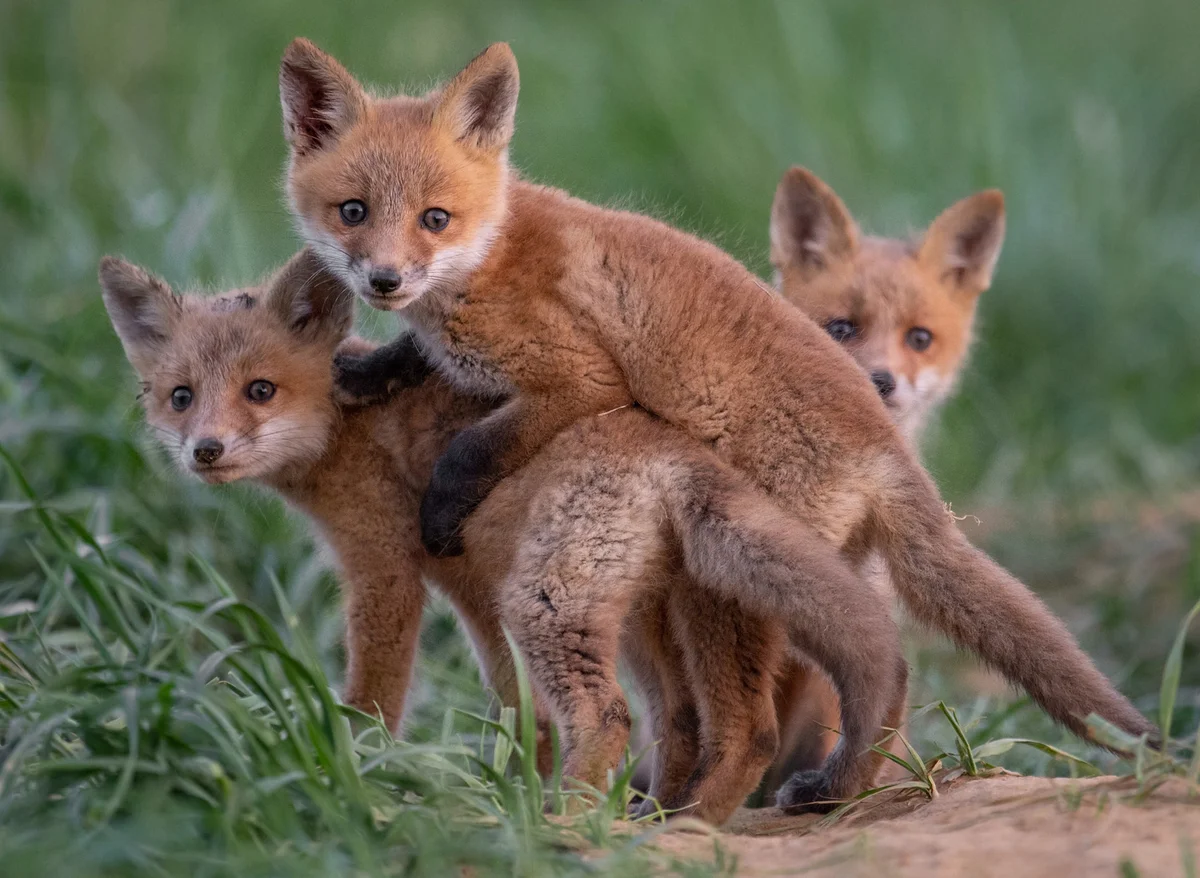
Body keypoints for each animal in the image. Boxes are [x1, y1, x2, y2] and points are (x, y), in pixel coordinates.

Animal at [99, 249, 905, 824]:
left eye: (259, 391)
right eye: (181, 398)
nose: (205, 451)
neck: (347, 422)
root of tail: (674, 450)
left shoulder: (386, 568)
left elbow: (377, 699)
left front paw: (352, 771)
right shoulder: (469, 584)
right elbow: (521, 710)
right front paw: (512, 791)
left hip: (551, 601)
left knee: (624, 718)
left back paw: (587, 823)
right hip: (636, 612)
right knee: (682, 719)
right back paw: (645, 814)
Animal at [278, 38, 1156, 809]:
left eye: (435, 219)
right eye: (353, 211)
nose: (384, 279)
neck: (488, 253)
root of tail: (888, 447)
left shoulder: (576, 376)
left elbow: (476, 446)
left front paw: (439, 505)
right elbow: (420, 360)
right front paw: (369, 370)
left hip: (724, 582)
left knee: (768, 714)